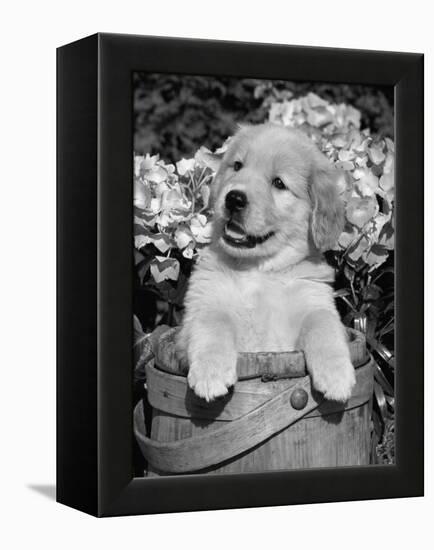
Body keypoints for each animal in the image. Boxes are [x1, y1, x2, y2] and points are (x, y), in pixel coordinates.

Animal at [176, 123, 356, 404]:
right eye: (237, 166)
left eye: (279, 183)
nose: (234, 199)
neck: (258, 270)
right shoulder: (200, 308)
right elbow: (212, 323)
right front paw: (210, 373)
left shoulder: (314, 302)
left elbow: (323, 325)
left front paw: (336, 375)